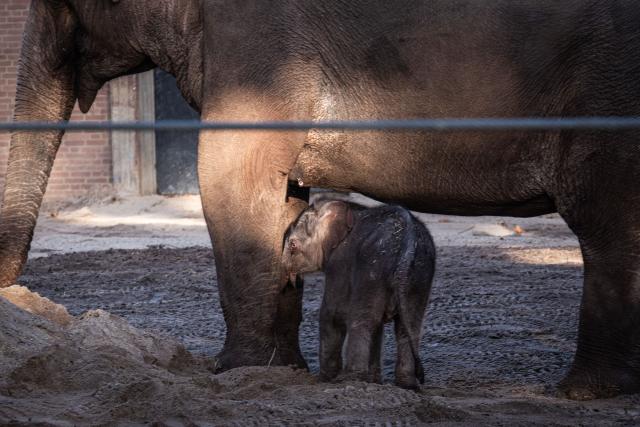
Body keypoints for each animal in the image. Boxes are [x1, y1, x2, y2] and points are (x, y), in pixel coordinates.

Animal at [283, 201, 435, 390]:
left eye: (293, 245)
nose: (291, 281)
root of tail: (408, 241)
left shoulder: (339, 264)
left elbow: (331, 315)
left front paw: (324, 379)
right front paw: (375, 381)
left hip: (372, 268)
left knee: (362, 321)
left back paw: (350, 379)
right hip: (419, 274)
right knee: (408, 326)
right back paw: (407, 385)